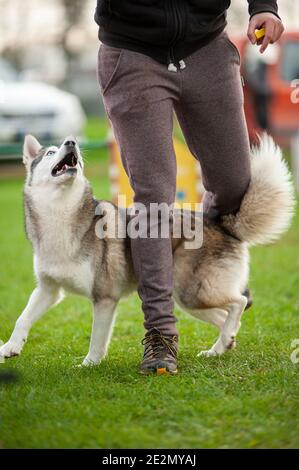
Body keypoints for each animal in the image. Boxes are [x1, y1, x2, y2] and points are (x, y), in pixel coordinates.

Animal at [0, 134, 296, 366]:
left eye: (73, 154)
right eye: (50, 153)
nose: (71, 142)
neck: (61, 216)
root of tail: (218, 223)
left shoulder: (105, 298)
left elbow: (97, 338)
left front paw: (88, 365)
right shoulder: (48, 290)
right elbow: (22, 318)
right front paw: (9, 348)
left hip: (193, 293)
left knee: (239, 302)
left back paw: (222, 341)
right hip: (189, 300)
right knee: (227, 317)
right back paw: (221, 347)